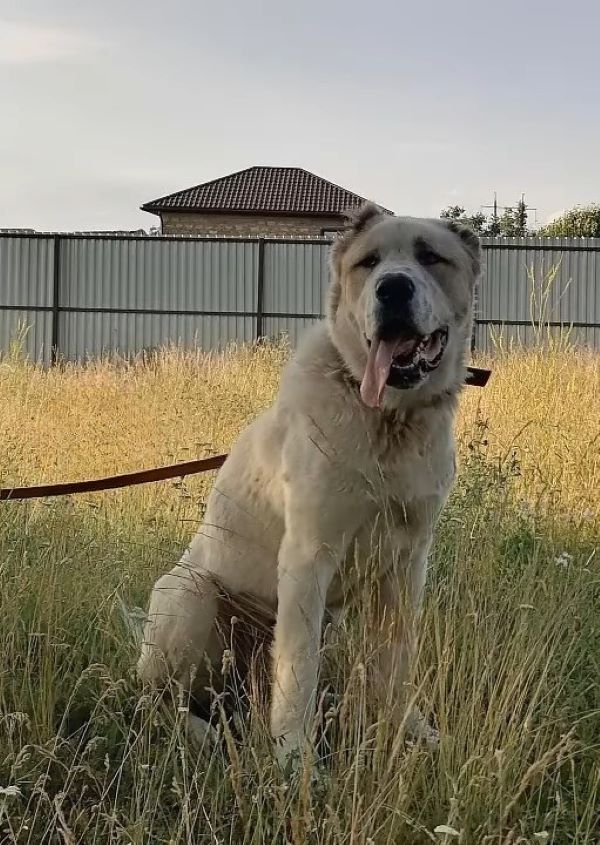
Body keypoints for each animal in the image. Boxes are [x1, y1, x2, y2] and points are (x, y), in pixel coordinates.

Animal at [138, 206, 480, 764]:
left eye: (431, 256)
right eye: (369, 262)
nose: (393, 289)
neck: (387, 420)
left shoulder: (407, 565)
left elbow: (396, 664)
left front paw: (410, 733)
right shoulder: (308, 556)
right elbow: (297, 673)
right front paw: (295, 759)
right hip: (189, 591)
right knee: (158, 699)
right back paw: (203, 735)